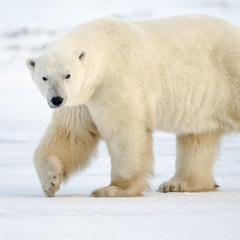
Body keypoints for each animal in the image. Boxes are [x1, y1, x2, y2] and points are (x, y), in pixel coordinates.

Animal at [26, 15, 240, 198]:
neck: (103, 50)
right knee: (197, 137)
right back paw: (178, 184)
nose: (56, 99)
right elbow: (71, 133)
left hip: (229, 74)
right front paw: (50, 181)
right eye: (44, 77)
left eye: (67, 75)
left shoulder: (114, 81)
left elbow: (124, 130)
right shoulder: (82, 99)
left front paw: (113, 189)